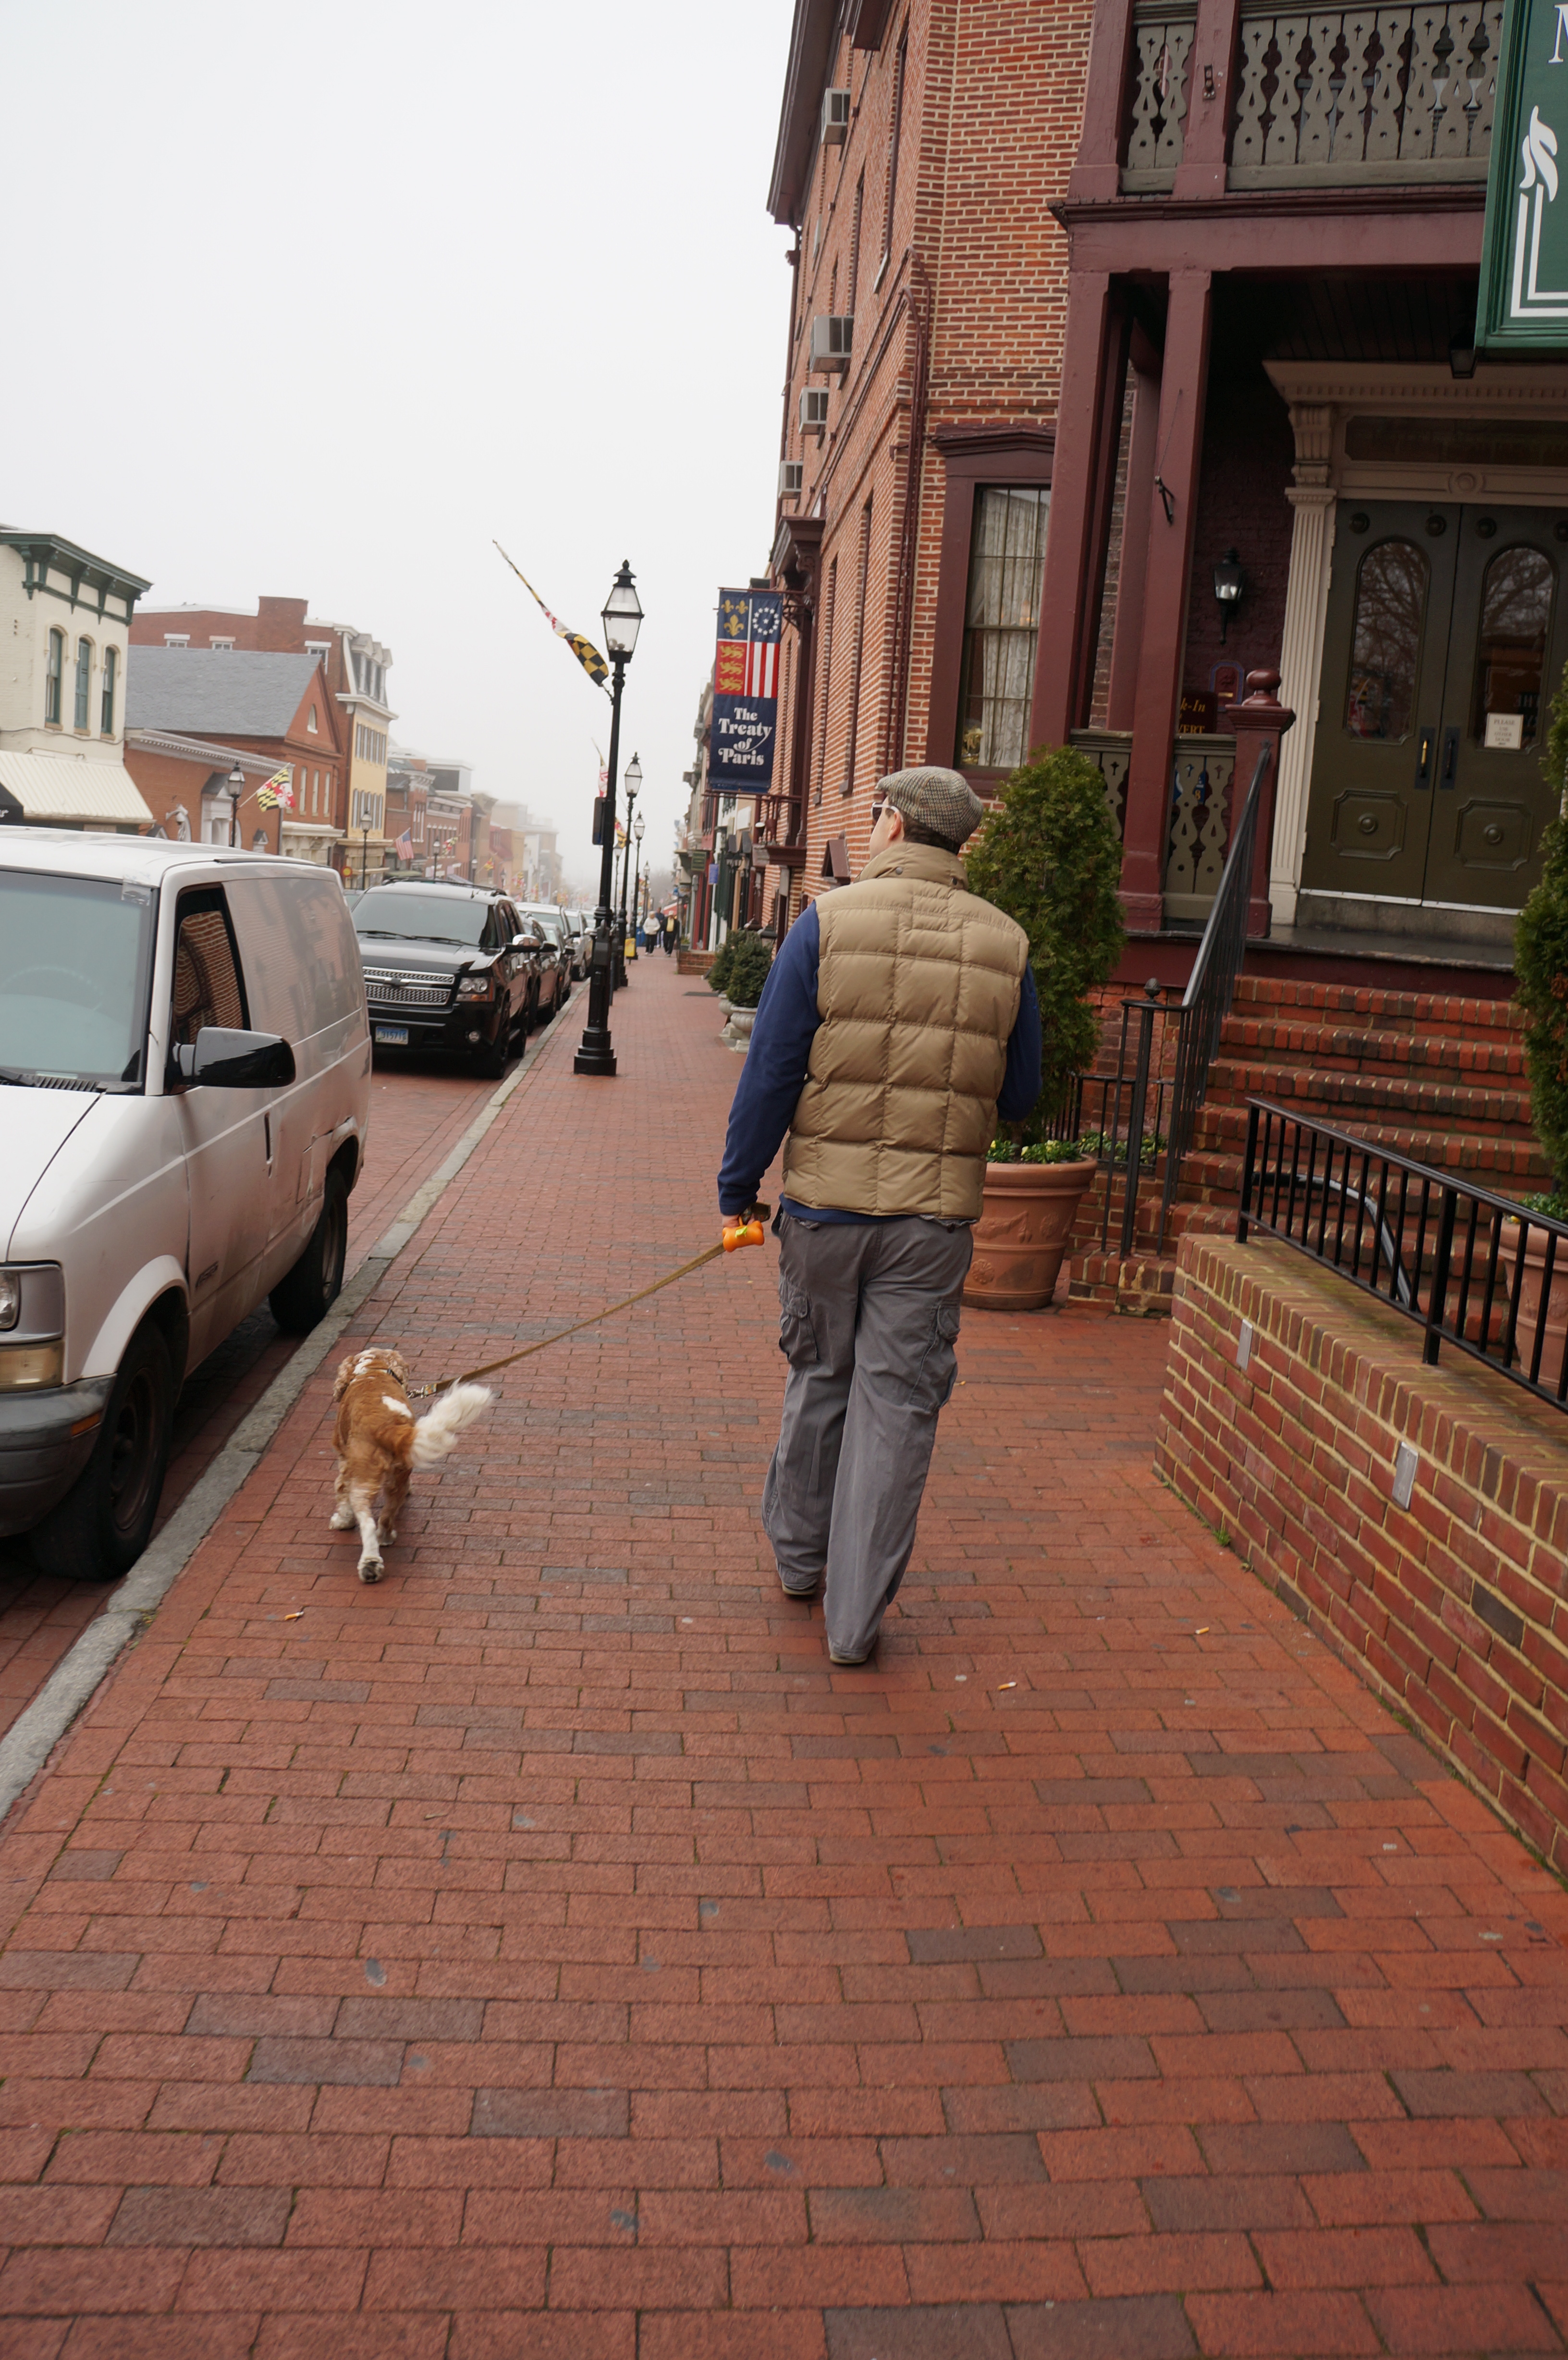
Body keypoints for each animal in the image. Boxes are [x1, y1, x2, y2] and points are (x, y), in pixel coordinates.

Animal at [333, 1359, 493, 1576]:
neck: (373, 1370)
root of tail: (386, 1428)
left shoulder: (344, 1460)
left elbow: (342, 1494)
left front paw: (342, 1521)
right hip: (398, 1477)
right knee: (388, 1515)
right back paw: (386, 1538)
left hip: (362, 1482)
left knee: (367, 1523)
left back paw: (370, 1564)